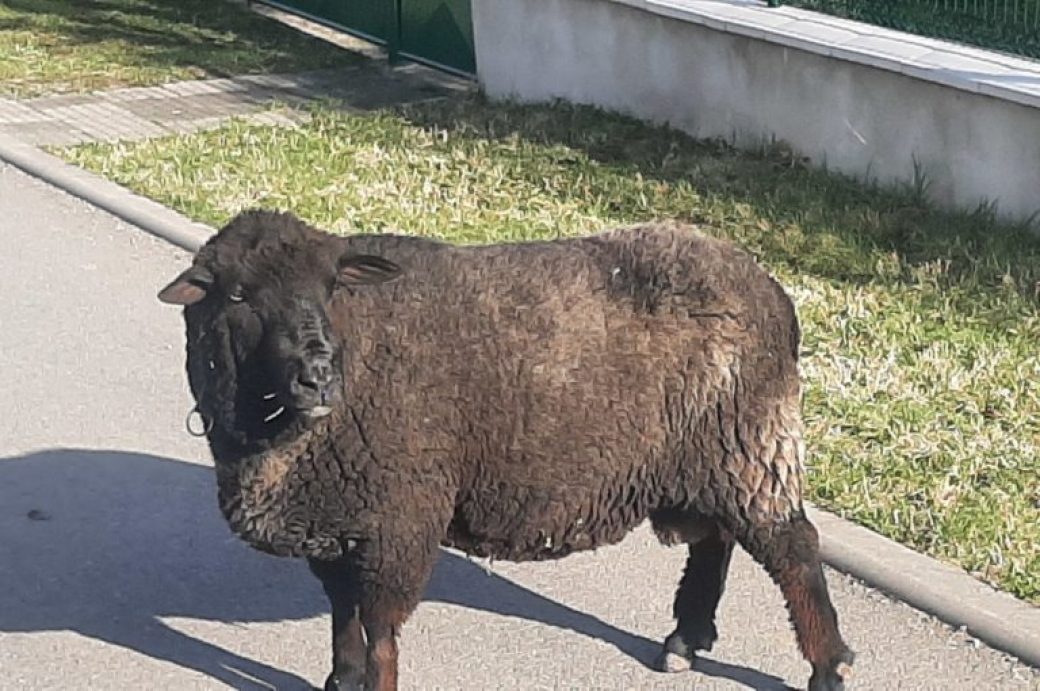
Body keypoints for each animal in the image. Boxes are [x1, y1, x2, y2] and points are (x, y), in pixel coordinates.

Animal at [156, 209, 852, 691]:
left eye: (332, 287)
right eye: (237, 296)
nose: (319, 377)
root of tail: (768, 285)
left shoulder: (399, 520)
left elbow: (379, 632)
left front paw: (368, 681)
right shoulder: (339, 519)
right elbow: (342, 615)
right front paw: (340, 679)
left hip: (750, 436)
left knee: (793, 550)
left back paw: (827, 666)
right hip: (710, 451)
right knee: (718, 538)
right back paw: (684, 639)